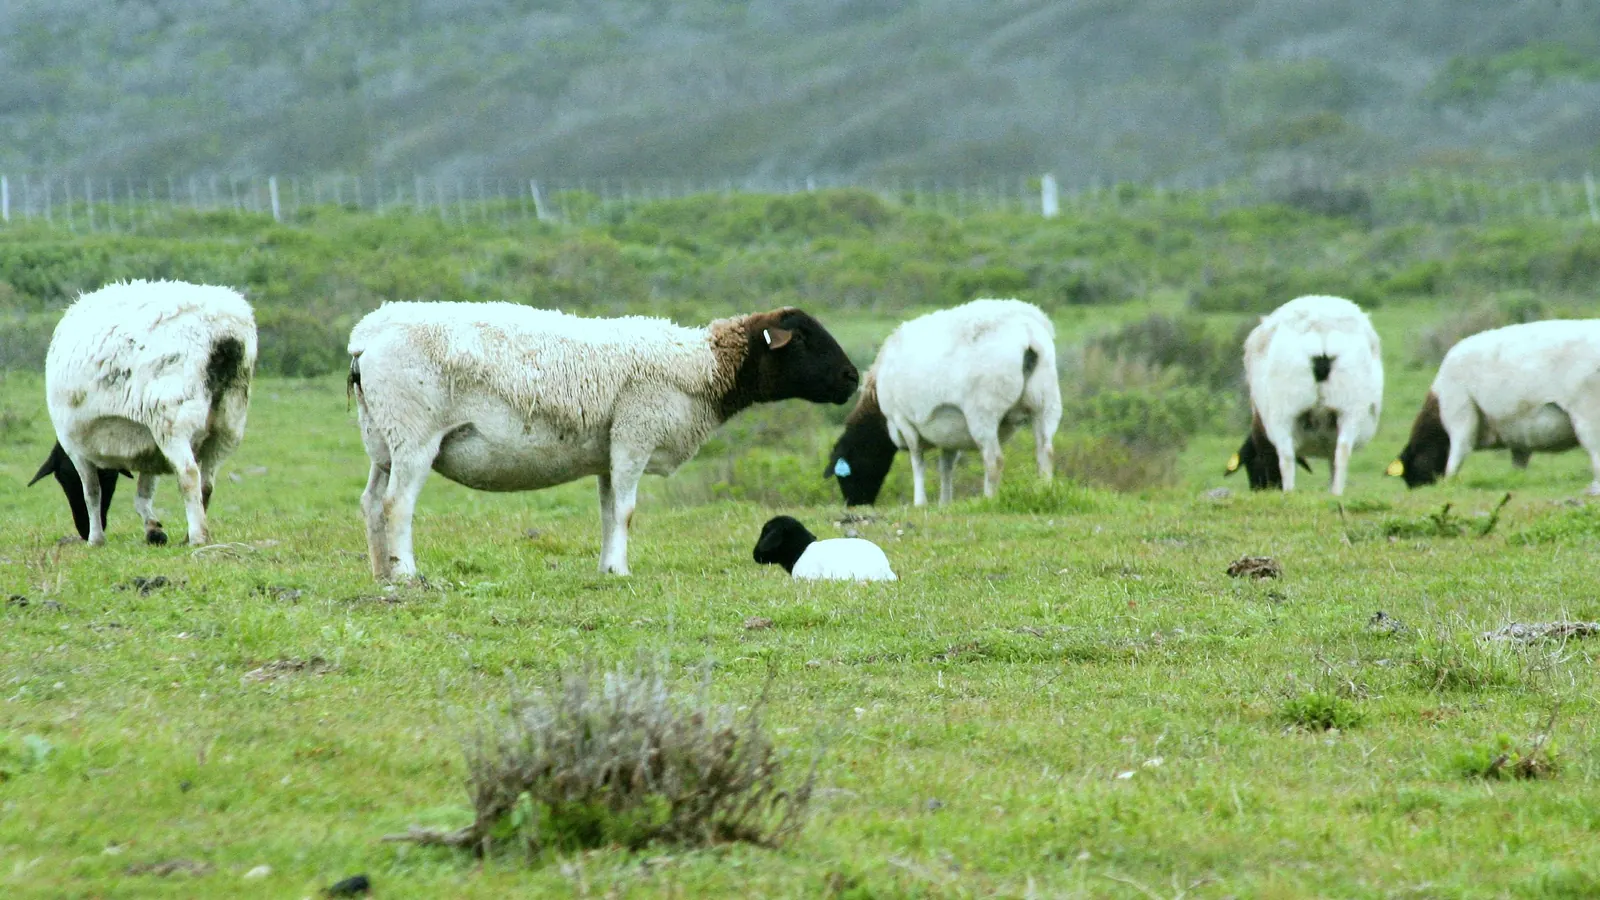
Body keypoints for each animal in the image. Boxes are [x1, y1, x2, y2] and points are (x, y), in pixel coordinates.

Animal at [29, 280, 257, 546]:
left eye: (63, 479)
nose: (82, 530)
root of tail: (224, 335)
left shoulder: (75, 447)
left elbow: (92, 493)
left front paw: (96, 539)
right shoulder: (150, 448)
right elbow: (143, 494)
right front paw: (153, 530)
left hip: (172, 419)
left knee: (189, 474)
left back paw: (197, 537)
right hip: (228, 422)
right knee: (207, 483)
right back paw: (191, 534)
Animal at [347, 301, 858, 580]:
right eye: (804, 338)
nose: (852, 378)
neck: (703, 368)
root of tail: (364, 335)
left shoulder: (610, 452)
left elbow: (611, 511)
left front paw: (608, 569)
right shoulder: (636, 434)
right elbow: (628, 511)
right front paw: (622, 569)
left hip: (380, 438)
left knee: (370, 502)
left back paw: (380, 572)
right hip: (413, 433)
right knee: (397, 505)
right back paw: (407, 573)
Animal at [825, 298, 1061, 507]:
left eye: (846, 471)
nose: (854, 504)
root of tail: (1026, 334)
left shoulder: (902, 419)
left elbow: (917, 460)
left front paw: (920, 502)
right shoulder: (949, 431)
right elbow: (946, 466)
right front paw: (944, 502)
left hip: (983, 412)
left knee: (994, 460)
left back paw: (989, 499)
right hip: (1046, 404)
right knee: (1045, 452)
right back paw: (1044, 493)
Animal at [1224, 295, 1383, 495]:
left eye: (1252, 465)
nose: (1261, 489)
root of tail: (1320, 327)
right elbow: (1333, 461)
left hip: (1284, 410)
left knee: (1286, 456)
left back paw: (1289, 492)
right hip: (1349, 406)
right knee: (1343, 451)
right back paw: (1336, 493)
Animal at [1387, 319, 1600, 494]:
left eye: (1413, 465)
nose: (1416, 489)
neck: (1438, 402)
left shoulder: (1460, 418)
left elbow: (1456, 458)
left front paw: (1448, 484)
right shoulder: (1520, 437)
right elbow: (1518, 465)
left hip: (1588, 417)